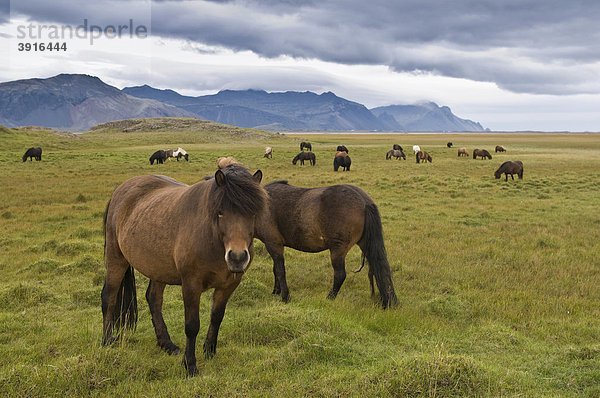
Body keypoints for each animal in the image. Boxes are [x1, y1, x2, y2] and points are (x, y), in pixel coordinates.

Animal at [103, 165, 268, 376]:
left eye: (253, 212)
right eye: (220, 212)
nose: (237, 257)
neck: (211, 239)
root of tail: (120, 190)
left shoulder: (229, 284)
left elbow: (217, 317)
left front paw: (209, 350)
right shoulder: (191, 284)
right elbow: (192, 326)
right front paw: (190, 365)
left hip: (158, 269)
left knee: (153, 299)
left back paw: (167, 344)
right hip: (116, 258)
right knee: (109, 297)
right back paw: (107, 340)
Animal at [254, 180, 398, 308]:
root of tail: (364, 202)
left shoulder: (273, 244)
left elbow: (279, 270)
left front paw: (283, 296)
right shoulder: (275, 246)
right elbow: (275, 269)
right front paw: (276, 291)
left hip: (338, 250)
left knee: (340, 275)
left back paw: (330, 297)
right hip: (366, 245)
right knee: (381, 268)